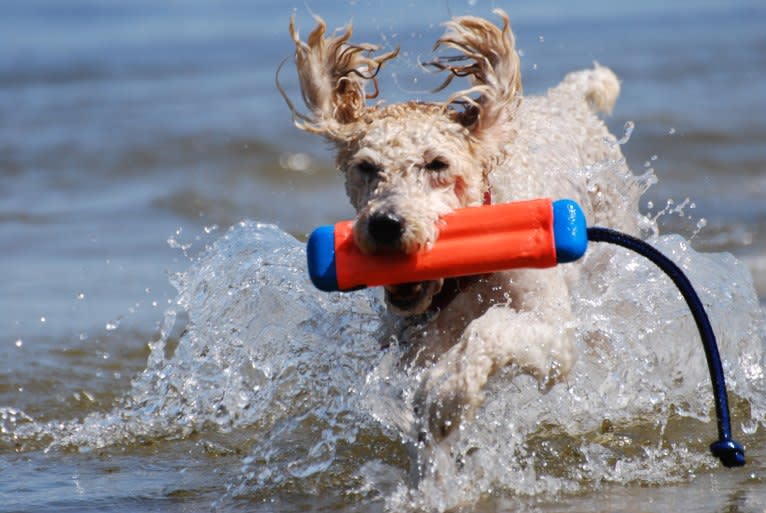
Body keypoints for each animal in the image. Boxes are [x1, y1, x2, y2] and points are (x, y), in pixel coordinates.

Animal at [282, 8, 640, 448]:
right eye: (365, 167)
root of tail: (568, 99)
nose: (385, 224)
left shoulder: (552, 332)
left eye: (437, 163)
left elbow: (490, 332)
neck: (464, 277)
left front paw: (448, 392)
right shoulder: (412, 342)